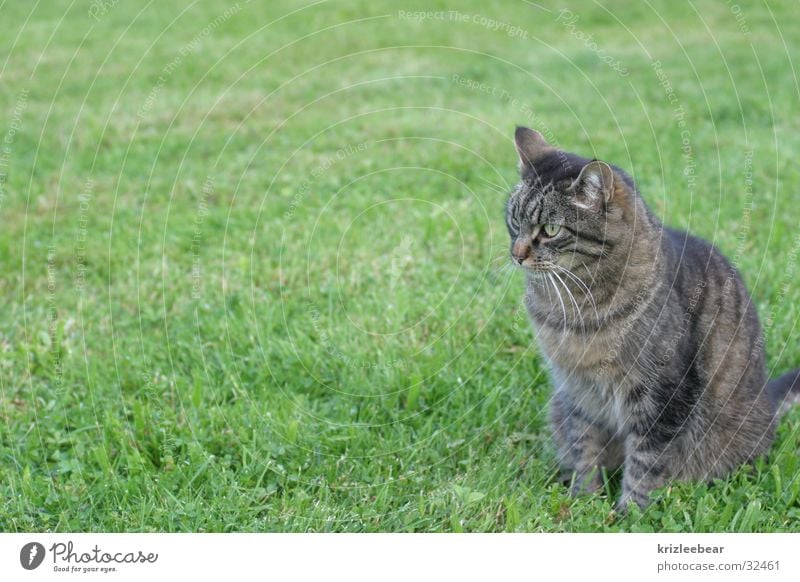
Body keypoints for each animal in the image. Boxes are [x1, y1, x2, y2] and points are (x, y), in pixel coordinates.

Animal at [506, 126, 800, 512]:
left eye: (551, 229)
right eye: (514, 221)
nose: (516, 254)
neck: (574, 304)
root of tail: (767, 398)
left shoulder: (662, 394)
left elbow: (647, 461)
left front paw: (628, 512)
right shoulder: (577, 391)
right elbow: (585, 447)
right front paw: (584, 499)